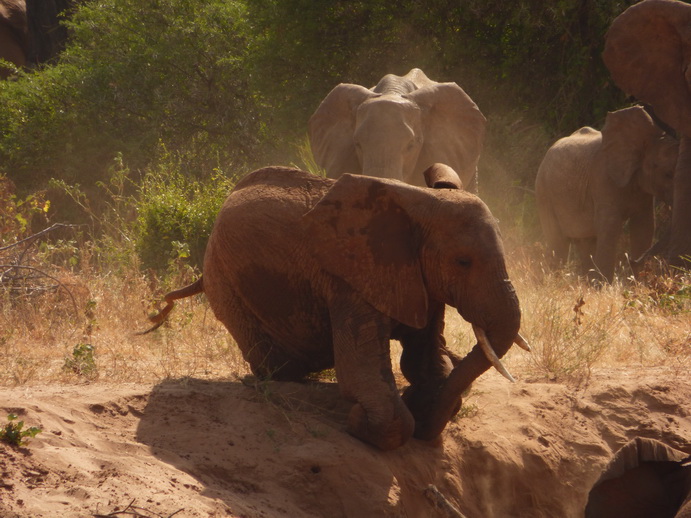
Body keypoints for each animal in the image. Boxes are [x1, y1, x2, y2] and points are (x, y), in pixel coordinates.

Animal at [143, 166, 528, 450]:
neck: (416, 201)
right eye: (463, 262)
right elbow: (365, 377)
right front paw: (360, 419)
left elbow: (426, 362)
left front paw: (426, 395)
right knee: (278, 364)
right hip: (223, 280)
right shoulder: (347, 278)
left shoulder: (420, 282)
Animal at [536, 106, 676, 284]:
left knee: (585, 241)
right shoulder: (603, 178)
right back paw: (557, 281)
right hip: (544, 191)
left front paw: (638, 283)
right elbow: (610, 226)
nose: (632, 261)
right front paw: (604, 285)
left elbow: (644, 225)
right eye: (668, 174)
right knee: (558, 241)